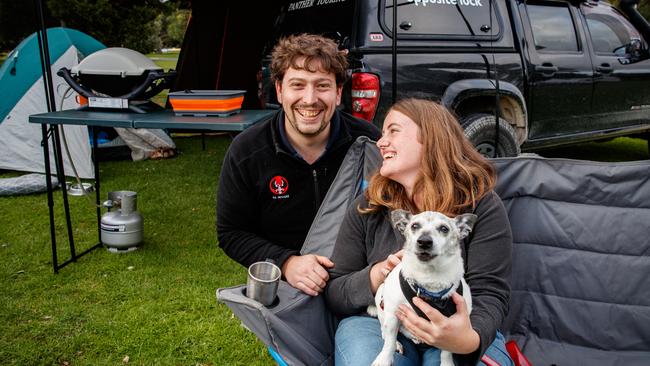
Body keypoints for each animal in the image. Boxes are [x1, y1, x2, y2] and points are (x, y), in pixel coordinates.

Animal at [368, 209, 478, 366]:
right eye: (415, 226)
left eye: (444, 228)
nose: (424, 241)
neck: (429, 278)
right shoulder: (393, 315)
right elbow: (389, 342)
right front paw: (384, 359)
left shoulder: (450, 330)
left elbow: (447, 350)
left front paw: (447, 363)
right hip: (381, 302)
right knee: (385, 330)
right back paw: (398, 343)